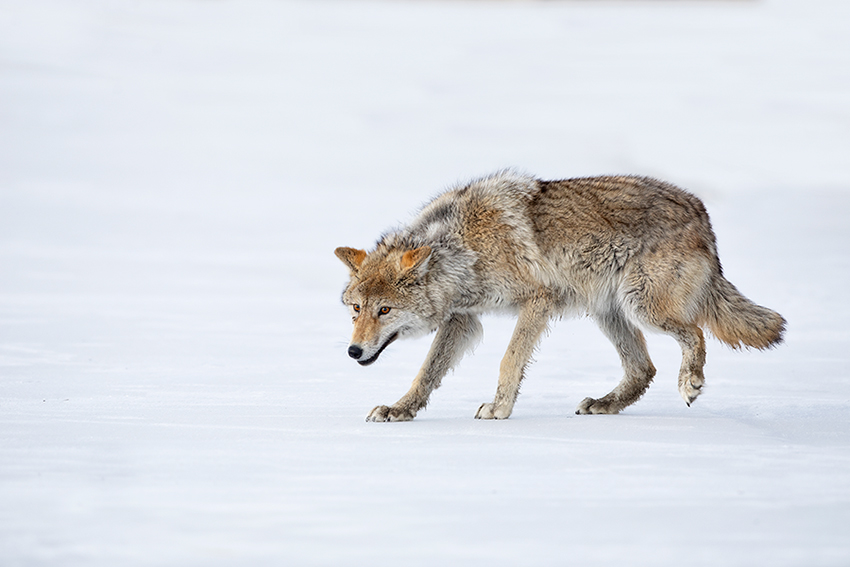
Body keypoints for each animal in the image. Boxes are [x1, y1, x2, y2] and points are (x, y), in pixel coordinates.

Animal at [335, 171, 785, 422]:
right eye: (356, 309)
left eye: (385, 310)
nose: (353, 351)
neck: (463, 248)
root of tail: (701, 212)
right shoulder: (463, 319)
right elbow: (426, 373)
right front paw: (400, 410)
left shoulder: (538, 301)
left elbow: (509, 359)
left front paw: (499, 409)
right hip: (610, 313)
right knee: (644, 369)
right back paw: (604, 404)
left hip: (642, 307)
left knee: (695, 334)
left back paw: (689, 383)